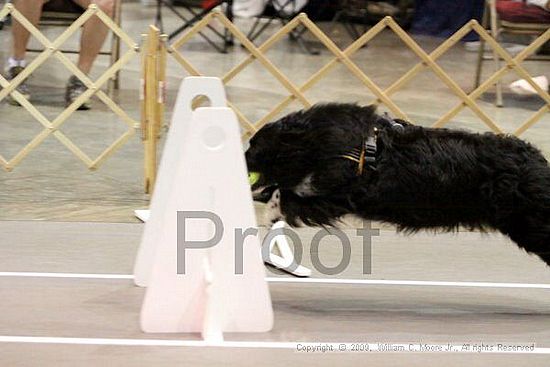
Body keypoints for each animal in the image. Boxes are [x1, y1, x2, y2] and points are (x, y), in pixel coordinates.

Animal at [248, 103, 550, 268]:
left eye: (253, 147)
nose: (241, 156)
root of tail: (539, 162)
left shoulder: (339, 196)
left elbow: (289, 198)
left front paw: (271, 211)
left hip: (532, 224)